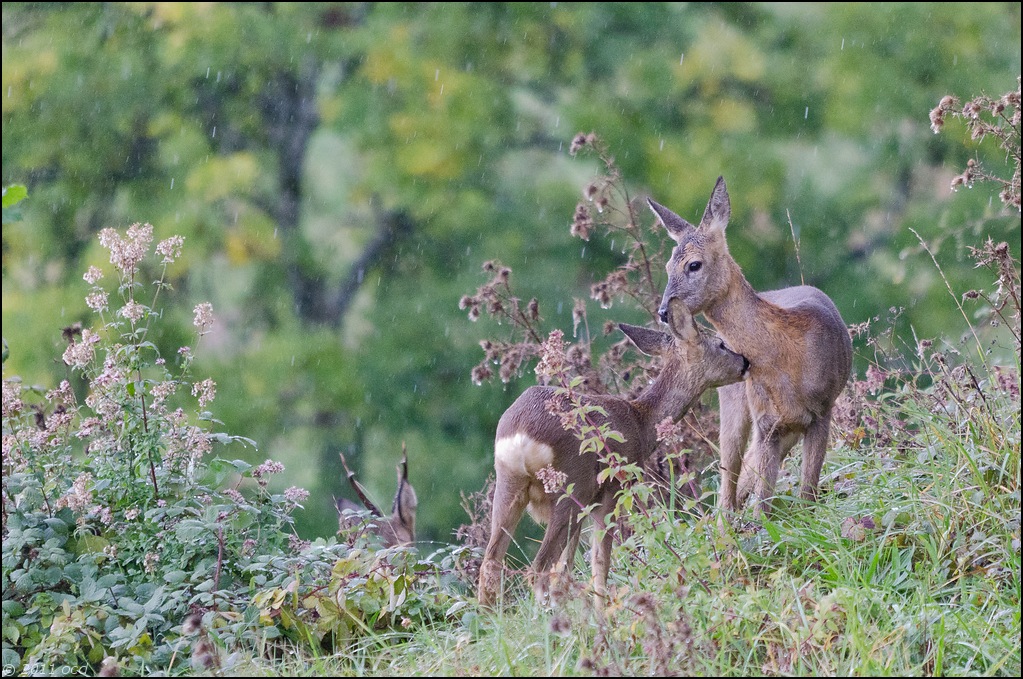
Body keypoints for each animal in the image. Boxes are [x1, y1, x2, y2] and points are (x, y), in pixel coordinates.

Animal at [474, 300, 748, 605]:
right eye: (721, 344)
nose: (745, 362)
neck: (641, 423)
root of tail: (522, 433)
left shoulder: (590, 503)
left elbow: (569, 567)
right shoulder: (613, 490)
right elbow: (600, 562)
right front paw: (601, 610)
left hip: (510, 484)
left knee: (492, 564)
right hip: (572, 485)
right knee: (539, 567)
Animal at [646, 174, 855, 515]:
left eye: (694, 265)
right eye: (666, 267)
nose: (664, 312)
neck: (787, 356)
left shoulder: (822, 410)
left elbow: (807, 495)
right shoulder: (766, 421)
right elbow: (763, 505)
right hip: (734, 401)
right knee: (727, 487)